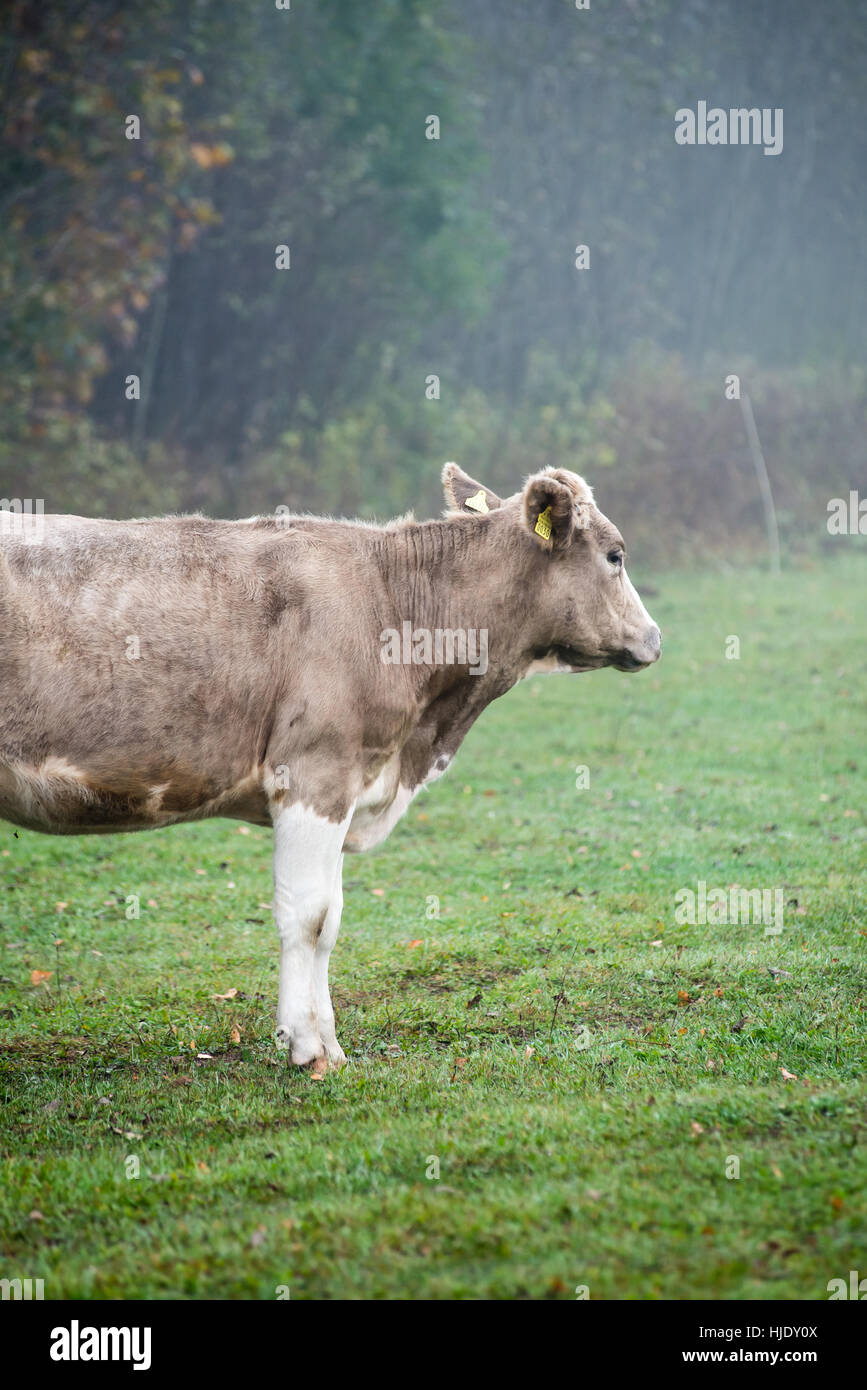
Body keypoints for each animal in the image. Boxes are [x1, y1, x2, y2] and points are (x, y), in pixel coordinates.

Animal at [0, 464, 660, 1071]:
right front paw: (310, 1048)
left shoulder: (348, 786)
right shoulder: (315, 773)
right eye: (615, 555)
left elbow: (333, 919)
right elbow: (310, 916)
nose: (655, 638)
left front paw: (324, 1043)